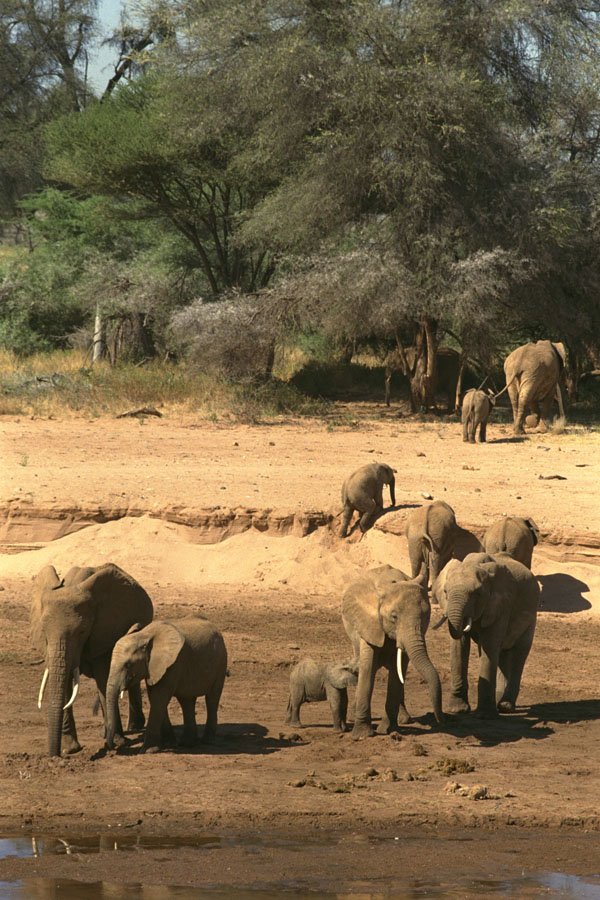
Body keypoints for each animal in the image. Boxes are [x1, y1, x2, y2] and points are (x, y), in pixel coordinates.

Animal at [31, 563, 153, 757]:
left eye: (81, 631)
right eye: (43, 631)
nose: (54, 755)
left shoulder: (104, 632)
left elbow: (103, 679)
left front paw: (117, 742)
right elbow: (66, 683)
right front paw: (71, 749)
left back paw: (133, 727)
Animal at [106, 617, 228, 753]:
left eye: (128, 665)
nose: (114, 746)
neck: (144, 635)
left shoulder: (171, 665)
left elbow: (159, 698)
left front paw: (148, 750)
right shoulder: (153, 668)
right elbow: (155, 698)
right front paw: (169, 744)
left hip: (221, 663)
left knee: (212, 699)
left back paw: (207, 741)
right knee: (186, 701)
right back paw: (187, 744)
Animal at [341, 564, 443, 740]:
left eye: (426, 616)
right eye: (394, 617)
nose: (439, 719)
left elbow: (397, 672)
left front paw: (388, 730)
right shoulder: (369, 624)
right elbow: (367, 669)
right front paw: (362, 735)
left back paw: (404, 719)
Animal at [433, 553, 539, 717]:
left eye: (477, 594)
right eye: (445, 592)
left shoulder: (502, 605)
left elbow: (489, 645)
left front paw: (484, 716)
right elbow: (459, 645)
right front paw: (458, 710)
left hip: (531, 618)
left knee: (519, 654)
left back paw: (505, 706)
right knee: (502, 653)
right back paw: (498, 702)